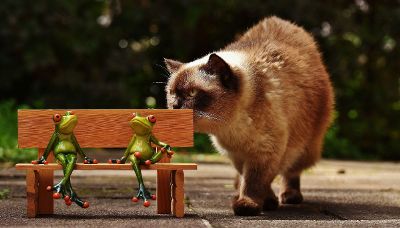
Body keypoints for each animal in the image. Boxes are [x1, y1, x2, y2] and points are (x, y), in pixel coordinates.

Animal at [162, 16, 334, 216]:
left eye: (191, 93)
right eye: (171, 93)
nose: (175, 106)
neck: (232, 127)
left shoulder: (266, 153)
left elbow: (255, 182)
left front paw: (249, 204)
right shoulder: (237, 154)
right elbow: (249, 178)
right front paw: (263, 201)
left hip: (304, 149)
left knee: (291, 172)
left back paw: (289, 196)